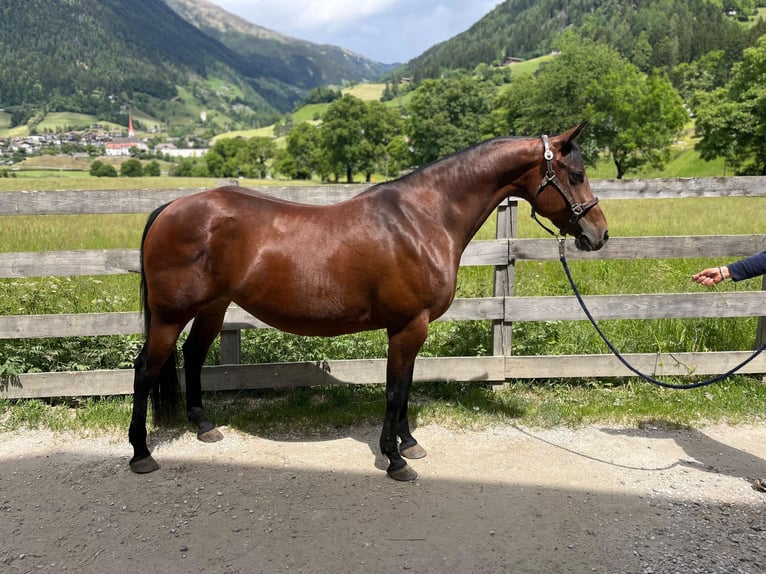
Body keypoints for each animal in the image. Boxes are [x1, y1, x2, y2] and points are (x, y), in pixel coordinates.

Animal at [128, 122, 609, 481]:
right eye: (576, 175)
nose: (599, 234)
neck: (422, 218)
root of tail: (171, 207)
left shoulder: (413, 326)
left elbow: (407, 385)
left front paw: (409, 444)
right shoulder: (408, 324)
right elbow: (395, 389)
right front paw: (394, 460)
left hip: (212, 307)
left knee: (192, 356)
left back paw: (204, 427)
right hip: (171, 315)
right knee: (146, 369)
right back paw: (140, 453)